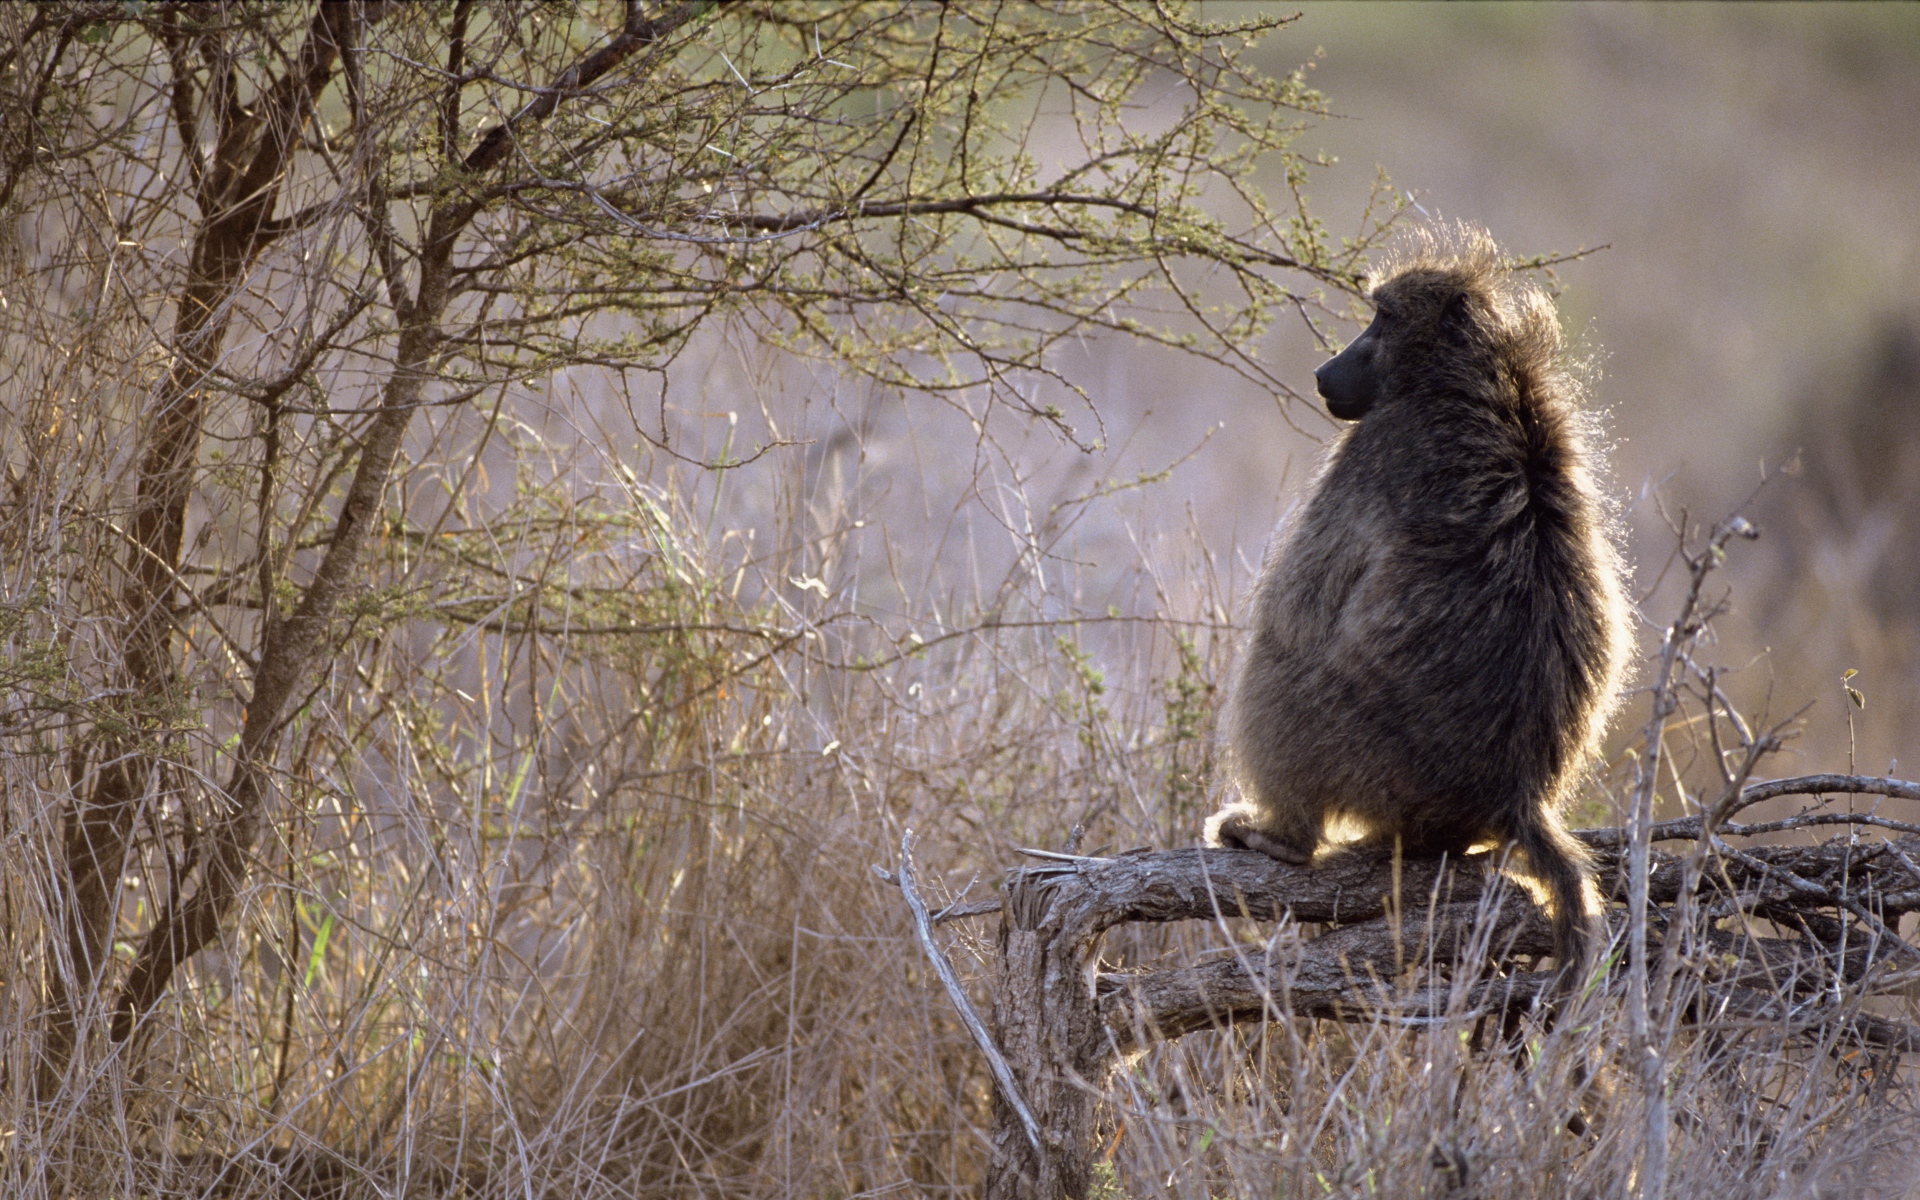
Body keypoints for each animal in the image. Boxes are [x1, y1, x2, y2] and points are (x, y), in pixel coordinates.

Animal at [1206, 227, 1632, 986]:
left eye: (1380, 317)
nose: (1325, 373)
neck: (1485, 380)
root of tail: (1517, 793)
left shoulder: (1376, 445)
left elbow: (1294, 612)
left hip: (1353, 751)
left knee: (1277, 672)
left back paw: (1281, 837)